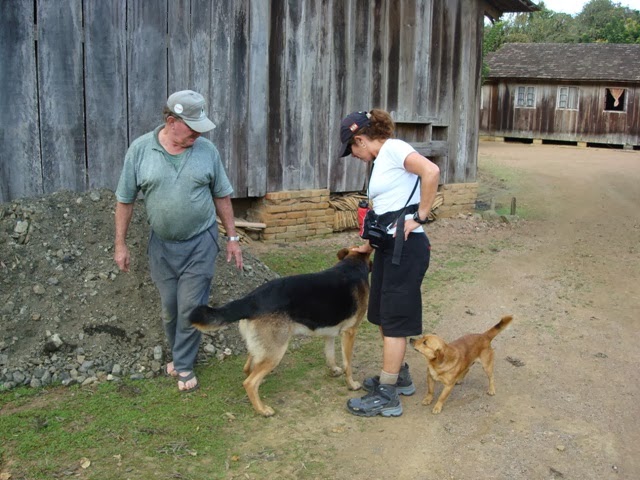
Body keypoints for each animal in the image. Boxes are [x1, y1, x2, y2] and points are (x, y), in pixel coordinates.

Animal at [189, 247, 372, 417]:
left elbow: (330, 355)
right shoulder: (350, 332)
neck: (352, 264)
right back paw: (262, 410)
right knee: (249, 382)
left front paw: (334, 370)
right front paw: (352, 384)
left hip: (262, 348)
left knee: (248, 368)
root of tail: (250, 300)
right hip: (276, 352)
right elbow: (348, 364)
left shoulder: (329, 333)